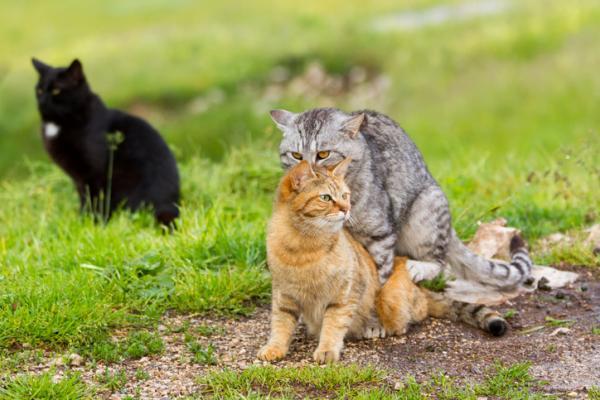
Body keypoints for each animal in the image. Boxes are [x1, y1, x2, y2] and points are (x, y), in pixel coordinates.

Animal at [32, 57, 179, 225]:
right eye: (39, 90)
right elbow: (85, 197)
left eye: (56, 91)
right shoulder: (79, 179)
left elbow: (93, 199)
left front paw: (91, 221)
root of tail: (169, 203)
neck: (59, 123)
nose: (42, 102)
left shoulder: (93, 173)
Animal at [260, 159, 508, 362]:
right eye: (325, 197)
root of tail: (418, 287)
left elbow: (333, 325)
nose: (346, 208)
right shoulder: (283, 295)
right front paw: (274, 348)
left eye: (345, 195)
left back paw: (376, 327)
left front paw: (327, 350)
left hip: (390, 298)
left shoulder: (344, 294)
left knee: (413, 315)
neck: (303, 247)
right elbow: (280, 325)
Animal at [270, 106, 532, 288]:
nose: (305, 172)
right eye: (296, 155)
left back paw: (418, 268)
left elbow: (379, 277)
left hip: (426, 211)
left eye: (323, 154)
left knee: (440, 262)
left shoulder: (381, 234)